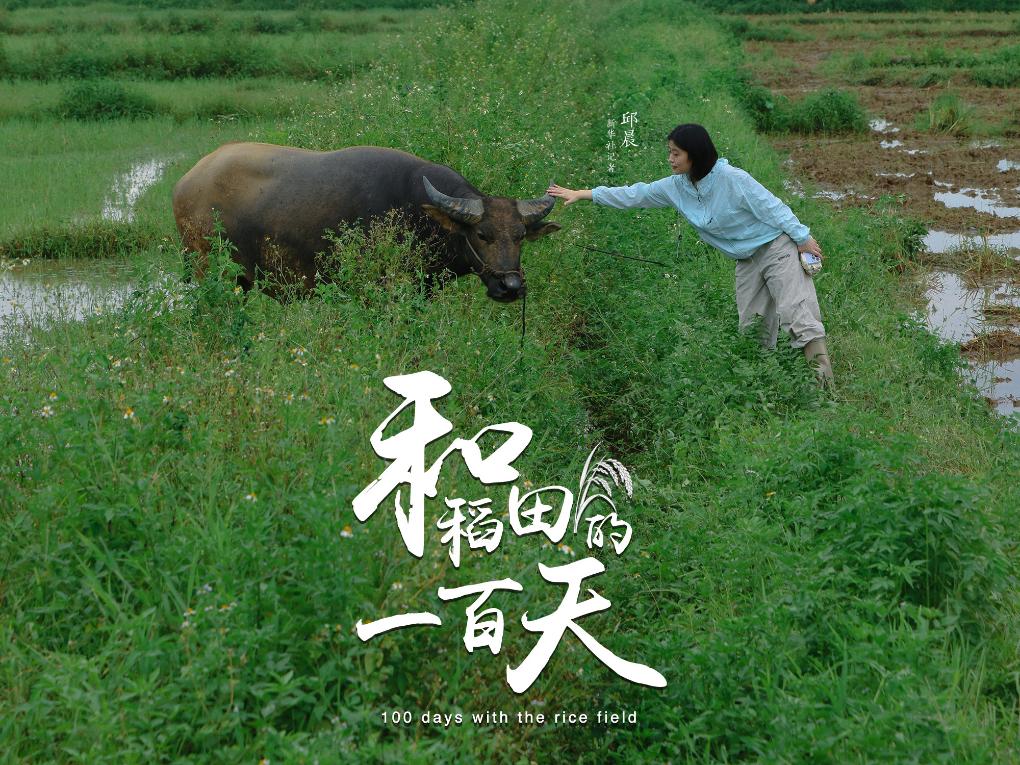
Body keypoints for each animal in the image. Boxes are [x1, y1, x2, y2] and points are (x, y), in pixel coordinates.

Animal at [172, 143, 561, 302]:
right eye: (482, 234)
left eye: (520, 236)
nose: (511, 287)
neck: (414, 210)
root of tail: (185, 183)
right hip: (207, 267)